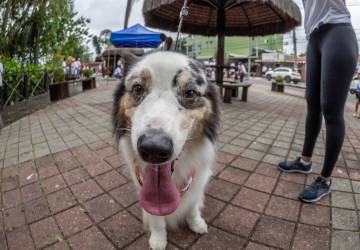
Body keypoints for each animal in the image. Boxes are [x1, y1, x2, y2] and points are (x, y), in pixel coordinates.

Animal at [112, 51, 219, 249]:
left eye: (190, 92)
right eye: (138, 88)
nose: (154, 148)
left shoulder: (199, 176)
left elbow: (193, 204)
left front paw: (196, 222)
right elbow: (156, 218)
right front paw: (158, 239)